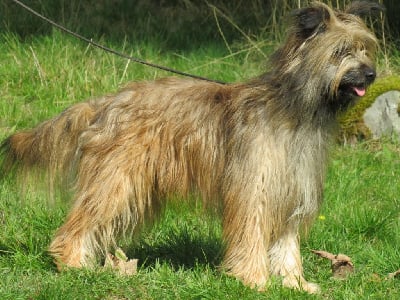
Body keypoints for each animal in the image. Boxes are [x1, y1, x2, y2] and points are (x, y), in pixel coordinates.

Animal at [0, 1, 384, 294]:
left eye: (365, 48)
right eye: (341, 51)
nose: (371, 75)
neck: (297, 111)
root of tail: (107, 103)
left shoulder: (291, 192)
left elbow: (287, 245)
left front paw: (295, 284)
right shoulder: (254, 191)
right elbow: (251, 235)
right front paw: (254, 281)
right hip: (115, 181)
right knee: (78, 225)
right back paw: (73, 265)